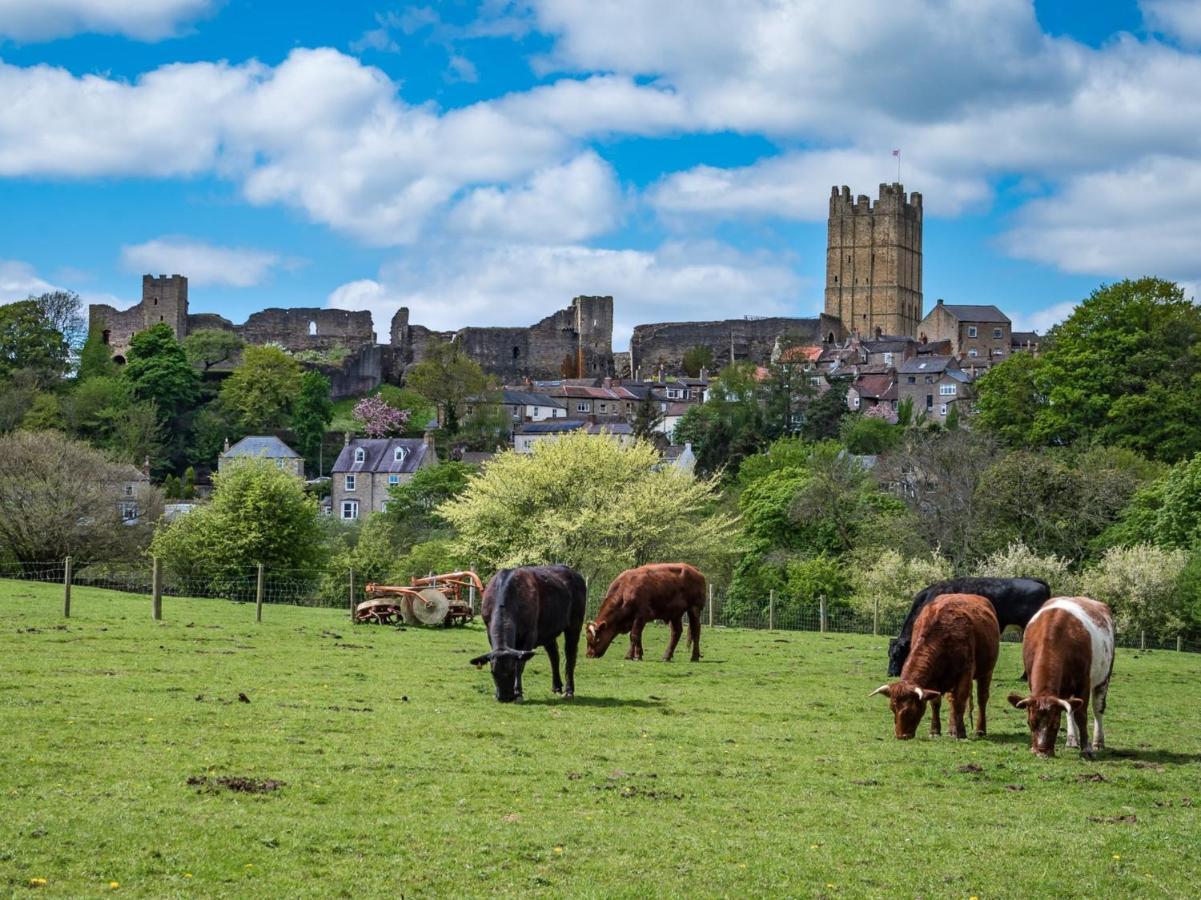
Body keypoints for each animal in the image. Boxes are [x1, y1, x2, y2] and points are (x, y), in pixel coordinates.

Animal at [468, 562, 586, 701]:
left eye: (512, 670)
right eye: (492, 672)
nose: (504, 697)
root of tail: (574, 573)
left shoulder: (530, 635)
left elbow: (521, 664)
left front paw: (518, 692)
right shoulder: (489, 632)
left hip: (575, 624)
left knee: (570, 655)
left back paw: (569, 691)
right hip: (548, 630)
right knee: (554, 655)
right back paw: (556, 687)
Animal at [869, 588, 999, 735]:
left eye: (910, 709)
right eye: (892, 708)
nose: (901, 735)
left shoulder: (965, 673)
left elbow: (960, 701)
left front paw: (959, 732)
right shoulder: (934, 681)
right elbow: (936, 703)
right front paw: (935, 730)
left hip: (986, 672)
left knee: (982, 698)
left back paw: (980, 729)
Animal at [1004, 595, 1114, 759]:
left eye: (1055, 725)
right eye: (1030, 723)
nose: (1042, 752)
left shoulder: (1084, 682)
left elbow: (1081, 715)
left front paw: (1086, 749)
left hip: (1103, 678)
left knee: (1098, 708)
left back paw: (1098, 742)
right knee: (1070, 709)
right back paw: (1071, 739)